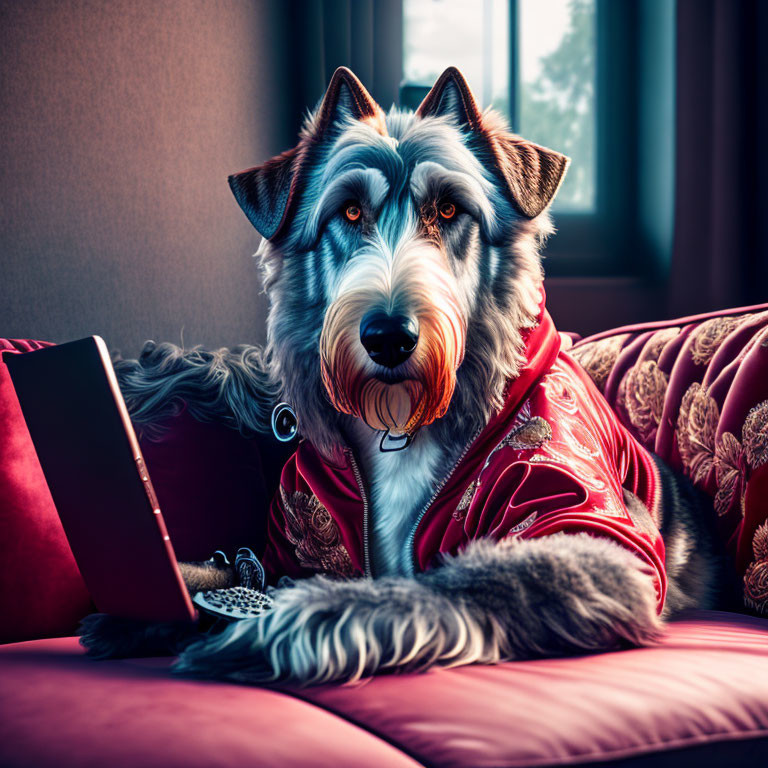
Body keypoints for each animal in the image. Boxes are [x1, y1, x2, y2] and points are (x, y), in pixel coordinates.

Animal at [82, 69, 720, 688]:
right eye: (349, 211)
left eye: (449, 209)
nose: (389, 337)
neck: (402, 424)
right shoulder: (283, 553)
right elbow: (230, 572)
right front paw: (156, 597)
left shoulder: (596, 545)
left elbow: (440, 583)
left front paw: (292, 624)